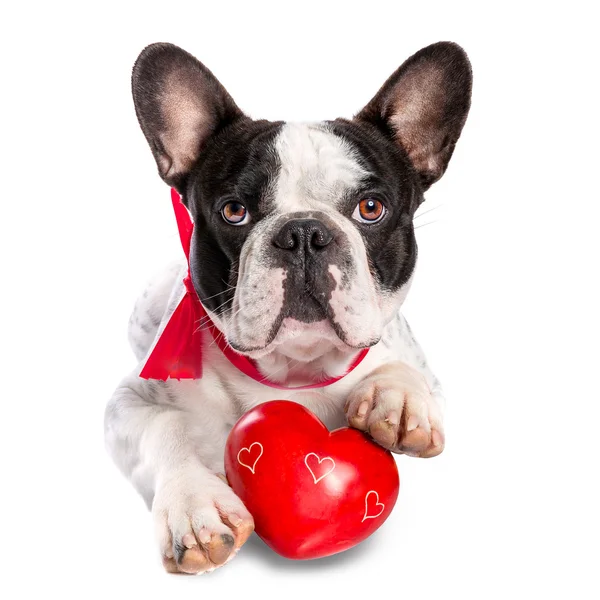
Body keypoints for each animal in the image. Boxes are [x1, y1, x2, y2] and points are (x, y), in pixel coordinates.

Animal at [106, 39, 474, 576]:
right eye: (234, 212)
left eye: (371, 208)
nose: (304, 232)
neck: (296, 371)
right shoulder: (129, 402)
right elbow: (164, 425)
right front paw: (192, 505)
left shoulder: (417, 364)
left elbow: (403, 370)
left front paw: (398, 399)